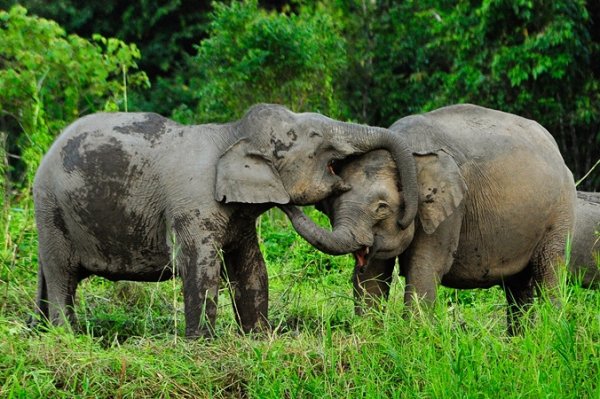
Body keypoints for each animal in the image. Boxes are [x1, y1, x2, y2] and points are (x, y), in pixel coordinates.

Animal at [31, 103, 418, 338]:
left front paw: (259, 339)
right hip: (51, 211)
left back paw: (41, 331)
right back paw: (69, 338)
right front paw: (202, 345)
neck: (231, 134)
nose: (403, 217)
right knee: (62, 275)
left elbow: (251, 267)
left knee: (50, 276)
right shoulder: (193, 205)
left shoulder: (239, 216)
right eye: (315, 137)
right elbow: (201, 267)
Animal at [284, 104, 580, 336]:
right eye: (332, 204)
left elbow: (425, 267)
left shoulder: (450, 209)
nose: (283, 203)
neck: (406, 151)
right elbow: (373, 275)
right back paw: (520, 341)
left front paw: (413, 341)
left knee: (549, 270)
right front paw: (370, 339)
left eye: (381, 207)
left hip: (561, 210)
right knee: (518, 286)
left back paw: (550, 336)